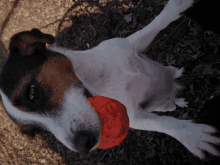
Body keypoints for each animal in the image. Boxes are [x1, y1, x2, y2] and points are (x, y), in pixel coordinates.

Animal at [0, 0, 220, 160]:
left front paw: (176, 7)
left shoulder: (132, 45)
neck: (99, 78)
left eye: (32, 93)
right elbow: (163, 124)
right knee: (168, 105)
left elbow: (154, 25)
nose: (83, 147)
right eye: (37, 132)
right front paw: (191, 135)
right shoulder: (136, 117)